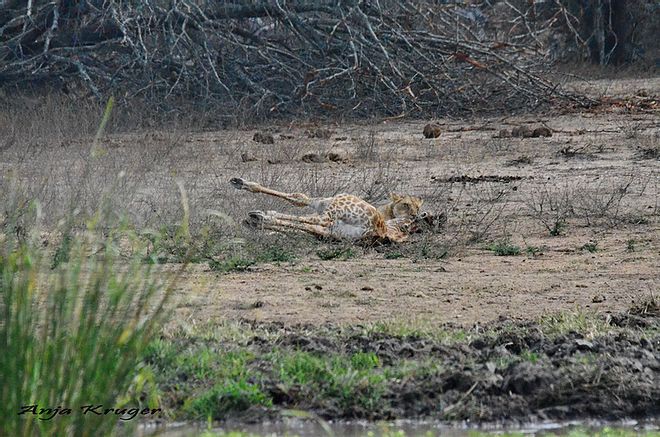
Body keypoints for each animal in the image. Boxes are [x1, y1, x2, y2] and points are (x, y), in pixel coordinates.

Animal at [231, 179, 428, 244]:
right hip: (333, 224)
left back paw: (256, 216)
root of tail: (377, 228)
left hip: (335, 208)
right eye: (406, 205)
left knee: (317, 218)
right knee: (309, 215)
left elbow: (299, 205)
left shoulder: (328, 208)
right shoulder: (329, 228)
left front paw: (261, 216)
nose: (415, 216)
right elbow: (299, 200)